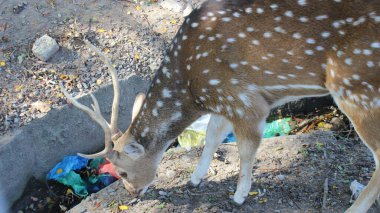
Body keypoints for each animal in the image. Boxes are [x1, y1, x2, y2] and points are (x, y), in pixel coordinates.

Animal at [59, 0, 380, 211]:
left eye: (122, 171)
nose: (133, 193)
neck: (192, 88)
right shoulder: (225, 100)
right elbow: (212, 135)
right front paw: (195, 179)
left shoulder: (244, 101)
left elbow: (246, 148)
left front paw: (239, 195)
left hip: (357, 87)